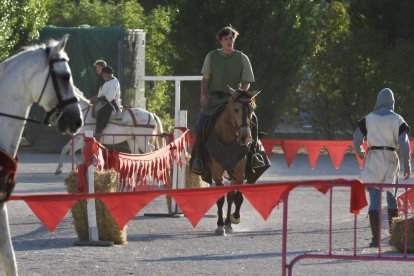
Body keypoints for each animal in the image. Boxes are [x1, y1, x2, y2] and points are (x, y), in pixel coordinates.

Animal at [203, 86, 258, 235]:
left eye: (252, 109)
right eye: (236, 109)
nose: (245, 137)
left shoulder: (239, 171)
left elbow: (235, 197)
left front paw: (233, 220)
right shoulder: (217, 172)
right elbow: (220, 198)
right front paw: (220, 225)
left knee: (231, 196)